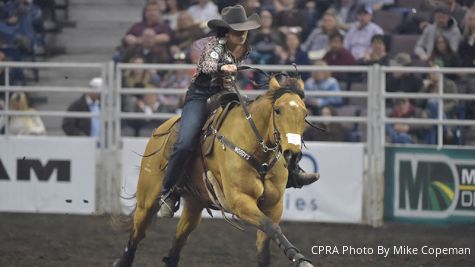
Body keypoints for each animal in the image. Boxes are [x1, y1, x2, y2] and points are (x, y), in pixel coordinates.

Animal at [115, 71, 314, 267]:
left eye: (305, 114)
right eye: (278, 110)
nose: (292, 154)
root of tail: (159, 129)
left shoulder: (274, 205)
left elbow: (265, 246)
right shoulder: (240, 201)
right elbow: (272, 227)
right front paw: (300, 259)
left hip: (194, 204)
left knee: (177, 244)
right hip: (147, 200)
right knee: (136, 235)